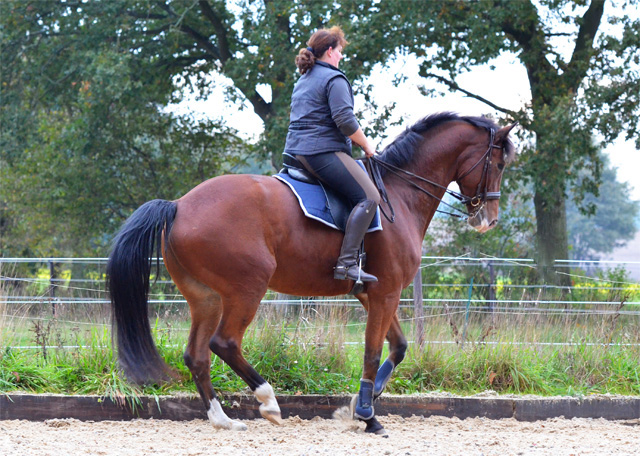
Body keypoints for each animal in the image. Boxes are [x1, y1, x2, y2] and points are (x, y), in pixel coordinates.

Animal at [107, 113, 516, 434]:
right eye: (497, 164)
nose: (489, 220)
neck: (399, 194)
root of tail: (178, 205)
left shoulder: (374, 293)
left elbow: (398, 347)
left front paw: (364, 400)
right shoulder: (385, 292)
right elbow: (371, 352)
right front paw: (367, 415)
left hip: (205, 297)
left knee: (196, 355)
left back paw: (223, 420)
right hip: (246, 289)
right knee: (224, 343)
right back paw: (268, 401)